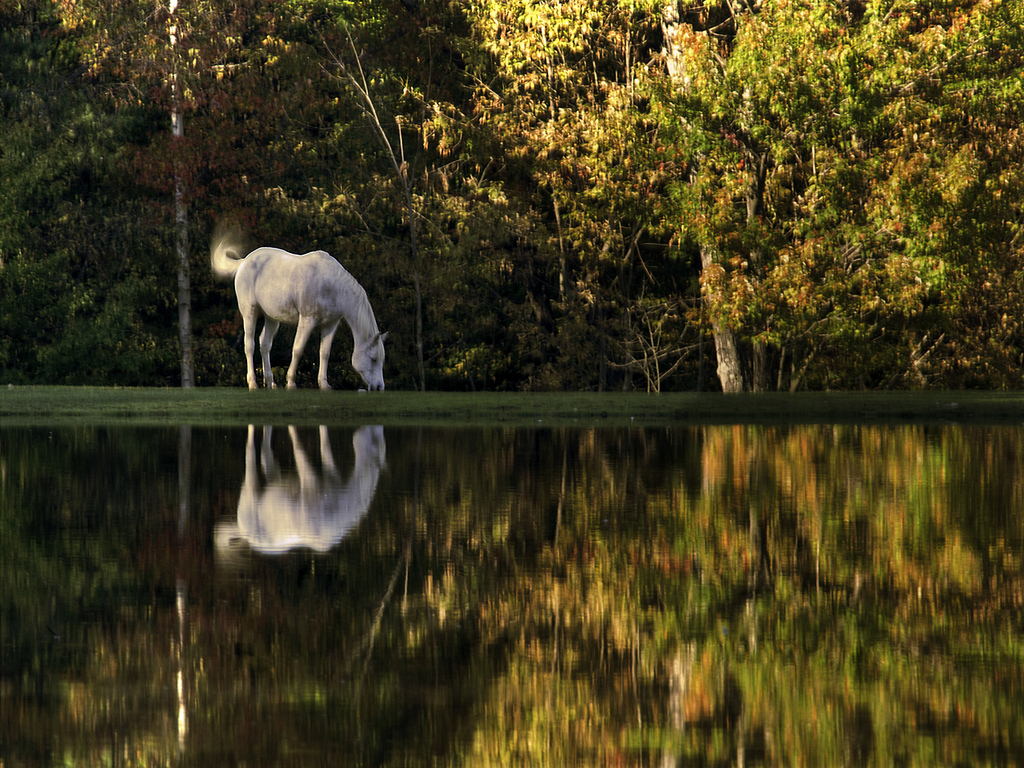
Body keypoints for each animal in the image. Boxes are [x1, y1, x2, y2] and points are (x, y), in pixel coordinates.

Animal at [209, 234, 385, 391]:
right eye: (373, 359)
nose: (379, 387)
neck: (332, 286)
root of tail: (244, 262)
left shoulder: (330, 324)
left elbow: (325, 353)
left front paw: (324, 385)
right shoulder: (307, 319)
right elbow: (298, 349)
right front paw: (291, 382)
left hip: (272, 318)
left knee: (265, 344)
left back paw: (271, 383)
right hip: (249, 312)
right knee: (249, 345)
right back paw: (253, 383)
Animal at [214, 423, 385, 557]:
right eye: (377, 440)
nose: (378, 427)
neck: (337, 509)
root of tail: (243, 533)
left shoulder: (330, 475)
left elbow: (324, 443)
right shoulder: (309, 480)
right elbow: (298, 447)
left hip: (274, 479)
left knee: (265, 453)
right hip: (250, 491)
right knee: (250, 451)